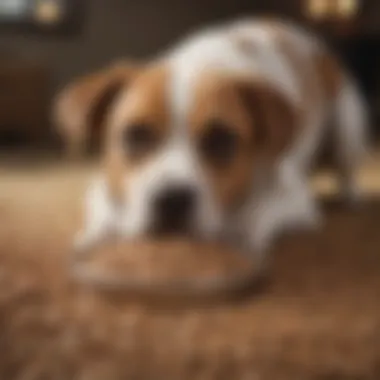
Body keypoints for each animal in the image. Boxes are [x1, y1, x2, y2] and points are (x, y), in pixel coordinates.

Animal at [54, 17, 368, 268]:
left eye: (220, 140)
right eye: (136, 135)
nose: (172, 200)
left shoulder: (294, 198)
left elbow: (255, 214)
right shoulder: (101, 188)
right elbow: (103, 213)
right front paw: (95, 236)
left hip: (347, 127)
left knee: (348, 171)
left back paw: (352, 198)